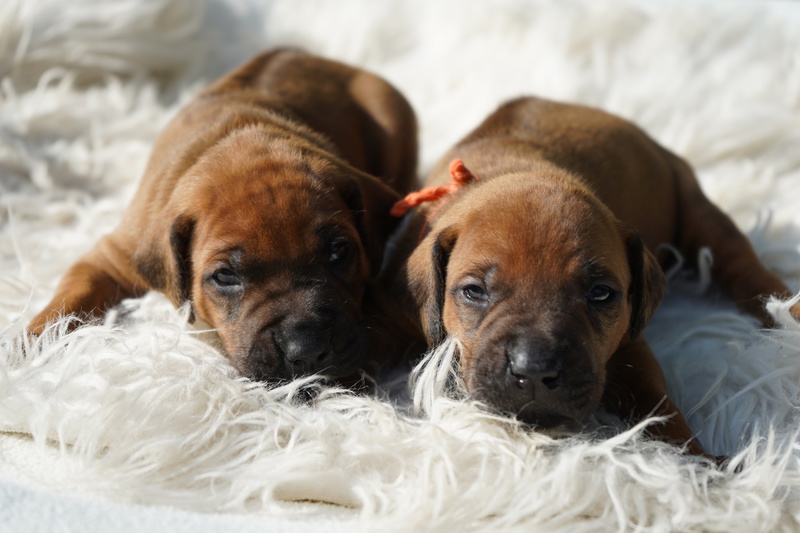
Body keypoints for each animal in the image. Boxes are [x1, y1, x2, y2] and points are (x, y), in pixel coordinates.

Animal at [27, 49, 418, 383]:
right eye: (225, 276)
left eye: (339, 251)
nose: (306, 351)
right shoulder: (112, 258)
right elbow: (70, 297)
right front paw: (27, 346)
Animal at [386, 96, 799, 456]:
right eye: (473, 292)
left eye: (600, 293)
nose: (533, 371)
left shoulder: (631, 344)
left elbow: (657, 405)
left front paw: (695, 465)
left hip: (695, 206)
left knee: (741, 263)